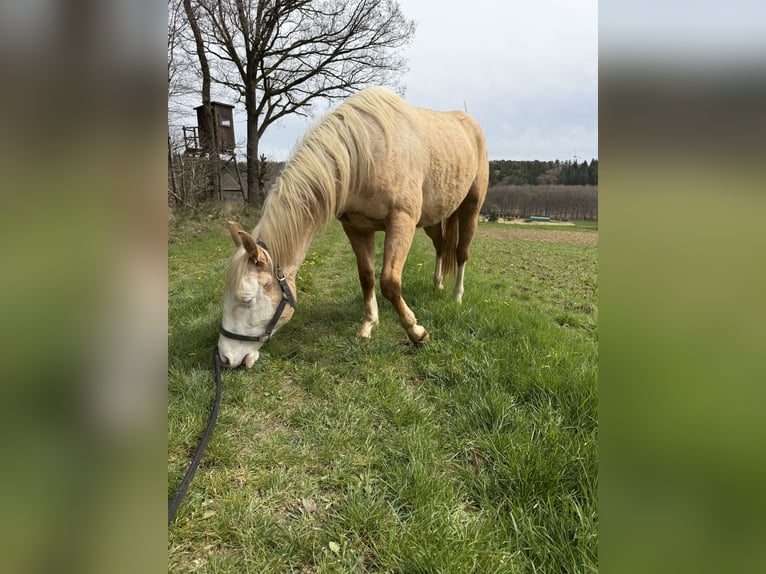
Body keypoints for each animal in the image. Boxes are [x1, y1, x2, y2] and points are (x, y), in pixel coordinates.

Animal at [218, 86, 488, 368]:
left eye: (247, 299)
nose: (226, 358)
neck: (362, 155)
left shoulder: (401, 222)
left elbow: (389, 282)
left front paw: (417, 332)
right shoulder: (356, 228)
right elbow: (367, 276)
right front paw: (368, 326)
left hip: (470, 208)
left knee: (461, 252)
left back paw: (457, 296)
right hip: (433, 220)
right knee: (441, 247)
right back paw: (438, 284)